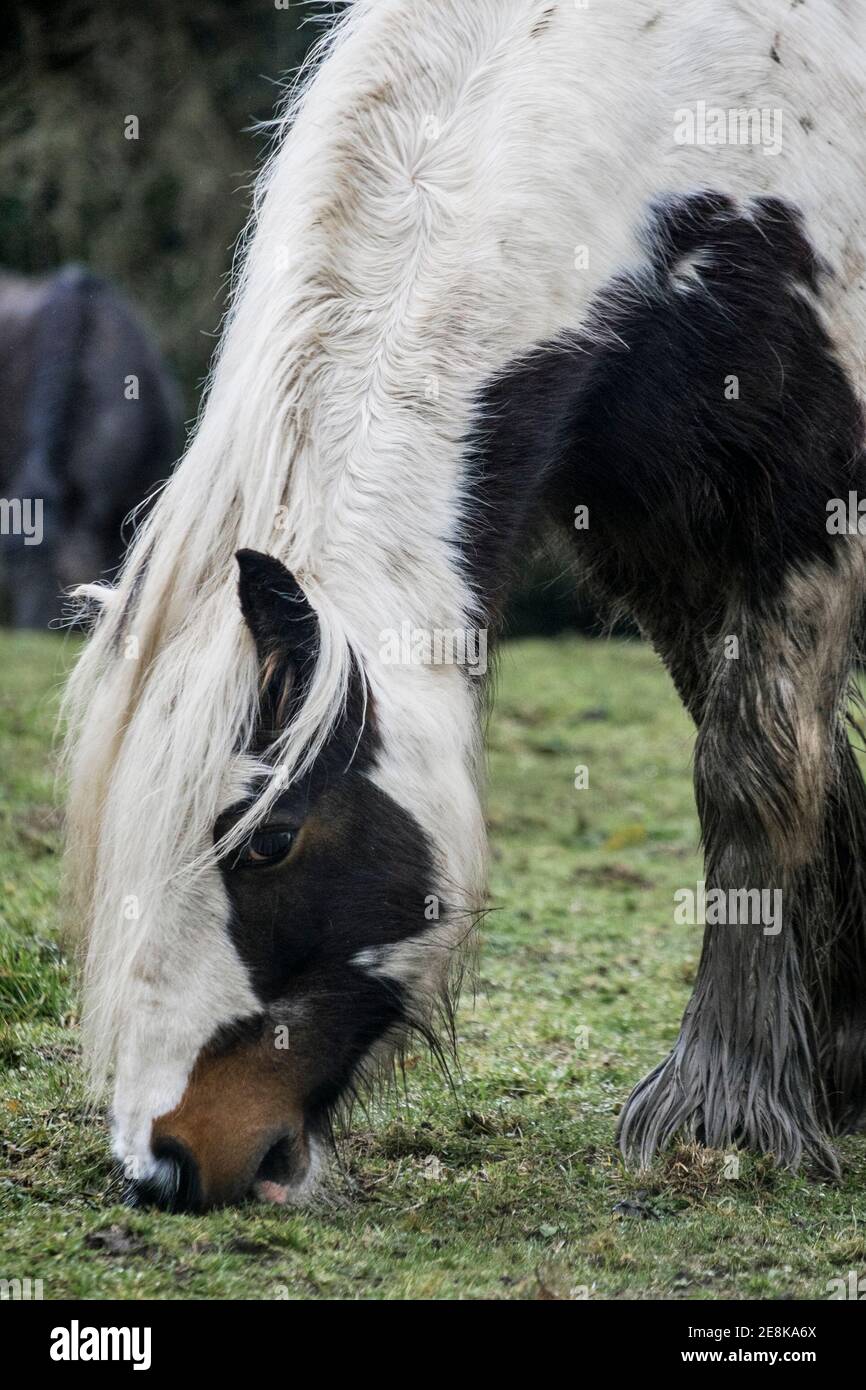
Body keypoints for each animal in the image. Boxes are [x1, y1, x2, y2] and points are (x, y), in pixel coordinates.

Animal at [62, 0, 866, 1211]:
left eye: (270, 840)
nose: (162, 1164)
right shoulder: (666, 548)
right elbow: (811, 772)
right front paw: (831, 1068)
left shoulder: (799, 525)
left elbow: (756, 777)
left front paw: (725, 1111)